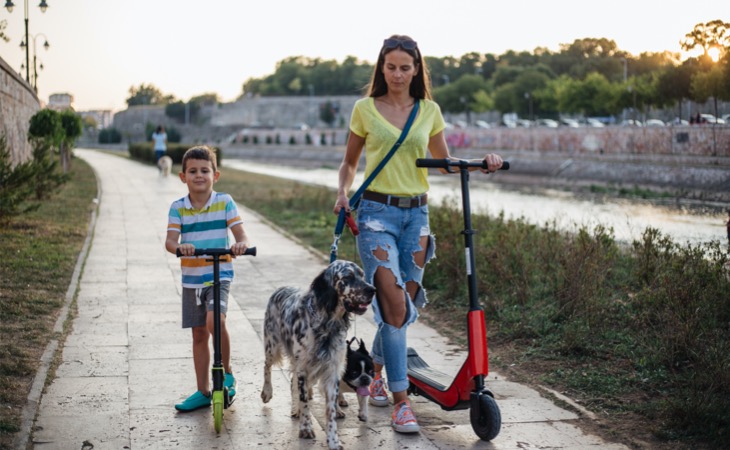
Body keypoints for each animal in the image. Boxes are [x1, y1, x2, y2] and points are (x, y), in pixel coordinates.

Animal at [260, 260, 376, 450]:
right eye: (348, 276)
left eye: (362, 275)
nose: (372, 290)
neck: (326, 324)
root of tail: (282, 288)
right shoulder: (303, 369)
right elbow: (305, 401)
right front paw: (306, 429)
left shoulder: (331, 371)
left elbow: (330, 410)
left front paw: (334, 440)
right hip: (272, 345)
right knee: (267, 367)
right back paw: (268, 393)